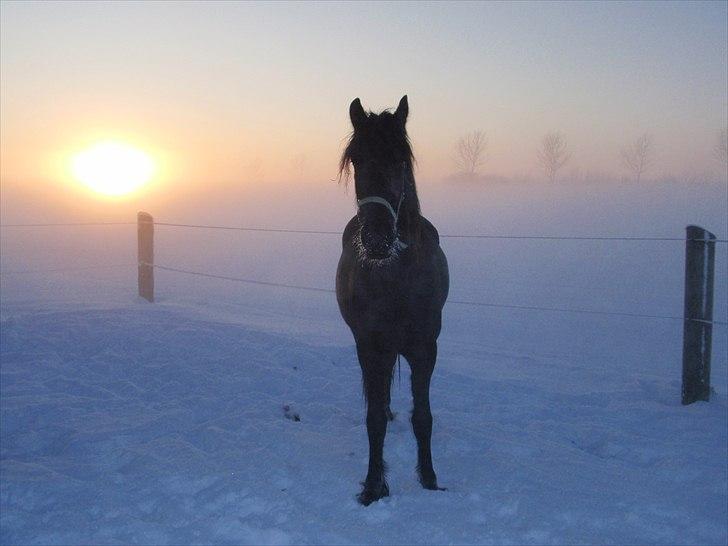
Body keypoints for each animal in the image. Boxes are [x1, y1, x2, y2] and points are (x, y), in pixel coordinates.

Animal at [336, 95, 450, 504]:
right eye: (356, 159)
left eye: (401, 160)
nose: (376, 239)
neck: (397, 281)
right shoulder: (370, 346)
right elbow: (373, 420)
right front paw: (373, 485)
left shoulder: (425, 348)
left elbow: (423, 416)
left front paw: (430, 478)